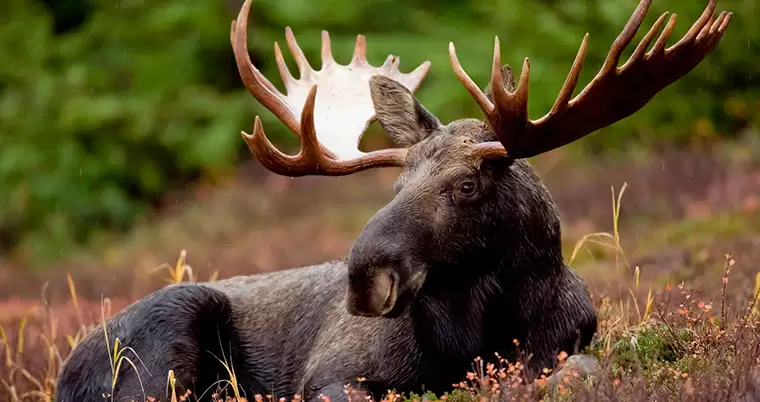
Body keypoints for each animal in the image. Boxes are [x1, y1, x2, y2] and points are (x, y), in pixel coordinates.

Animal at [53, 0, 732, 400]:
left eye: (465, 185)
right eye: (398, 187)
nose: (363, 278)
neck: (477, 335)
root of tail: (64, 370)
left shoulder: (566, 347)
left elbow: (582, 372)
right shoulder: (332, 374)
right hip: (161, 348)